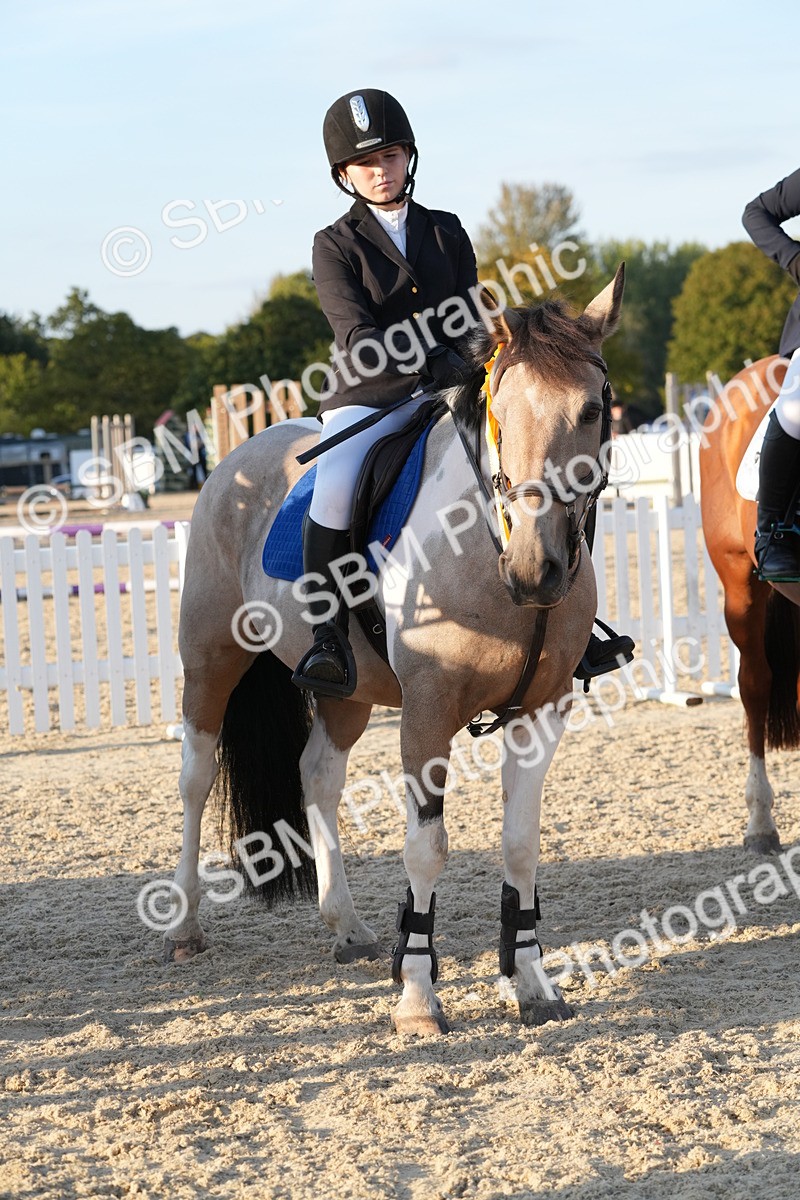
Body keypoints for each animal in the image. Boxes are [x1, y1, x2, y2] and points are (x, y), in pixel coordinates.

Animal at [166, 266, 625, 1034]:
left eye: (593, 408)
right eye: (501, 412)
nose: (536, 571)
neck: (487, 543)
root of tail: (244, 451)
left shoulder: (541, 713)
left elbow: (521, 845)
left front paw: (532, 982)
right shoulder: (427, 714)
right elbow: (427, 848)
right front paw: (416, 994)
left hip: (347, 692)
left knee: (318, 775)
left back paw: (346, 925)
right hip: (209, 659)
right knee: (196, 778)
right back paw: (183, 926)